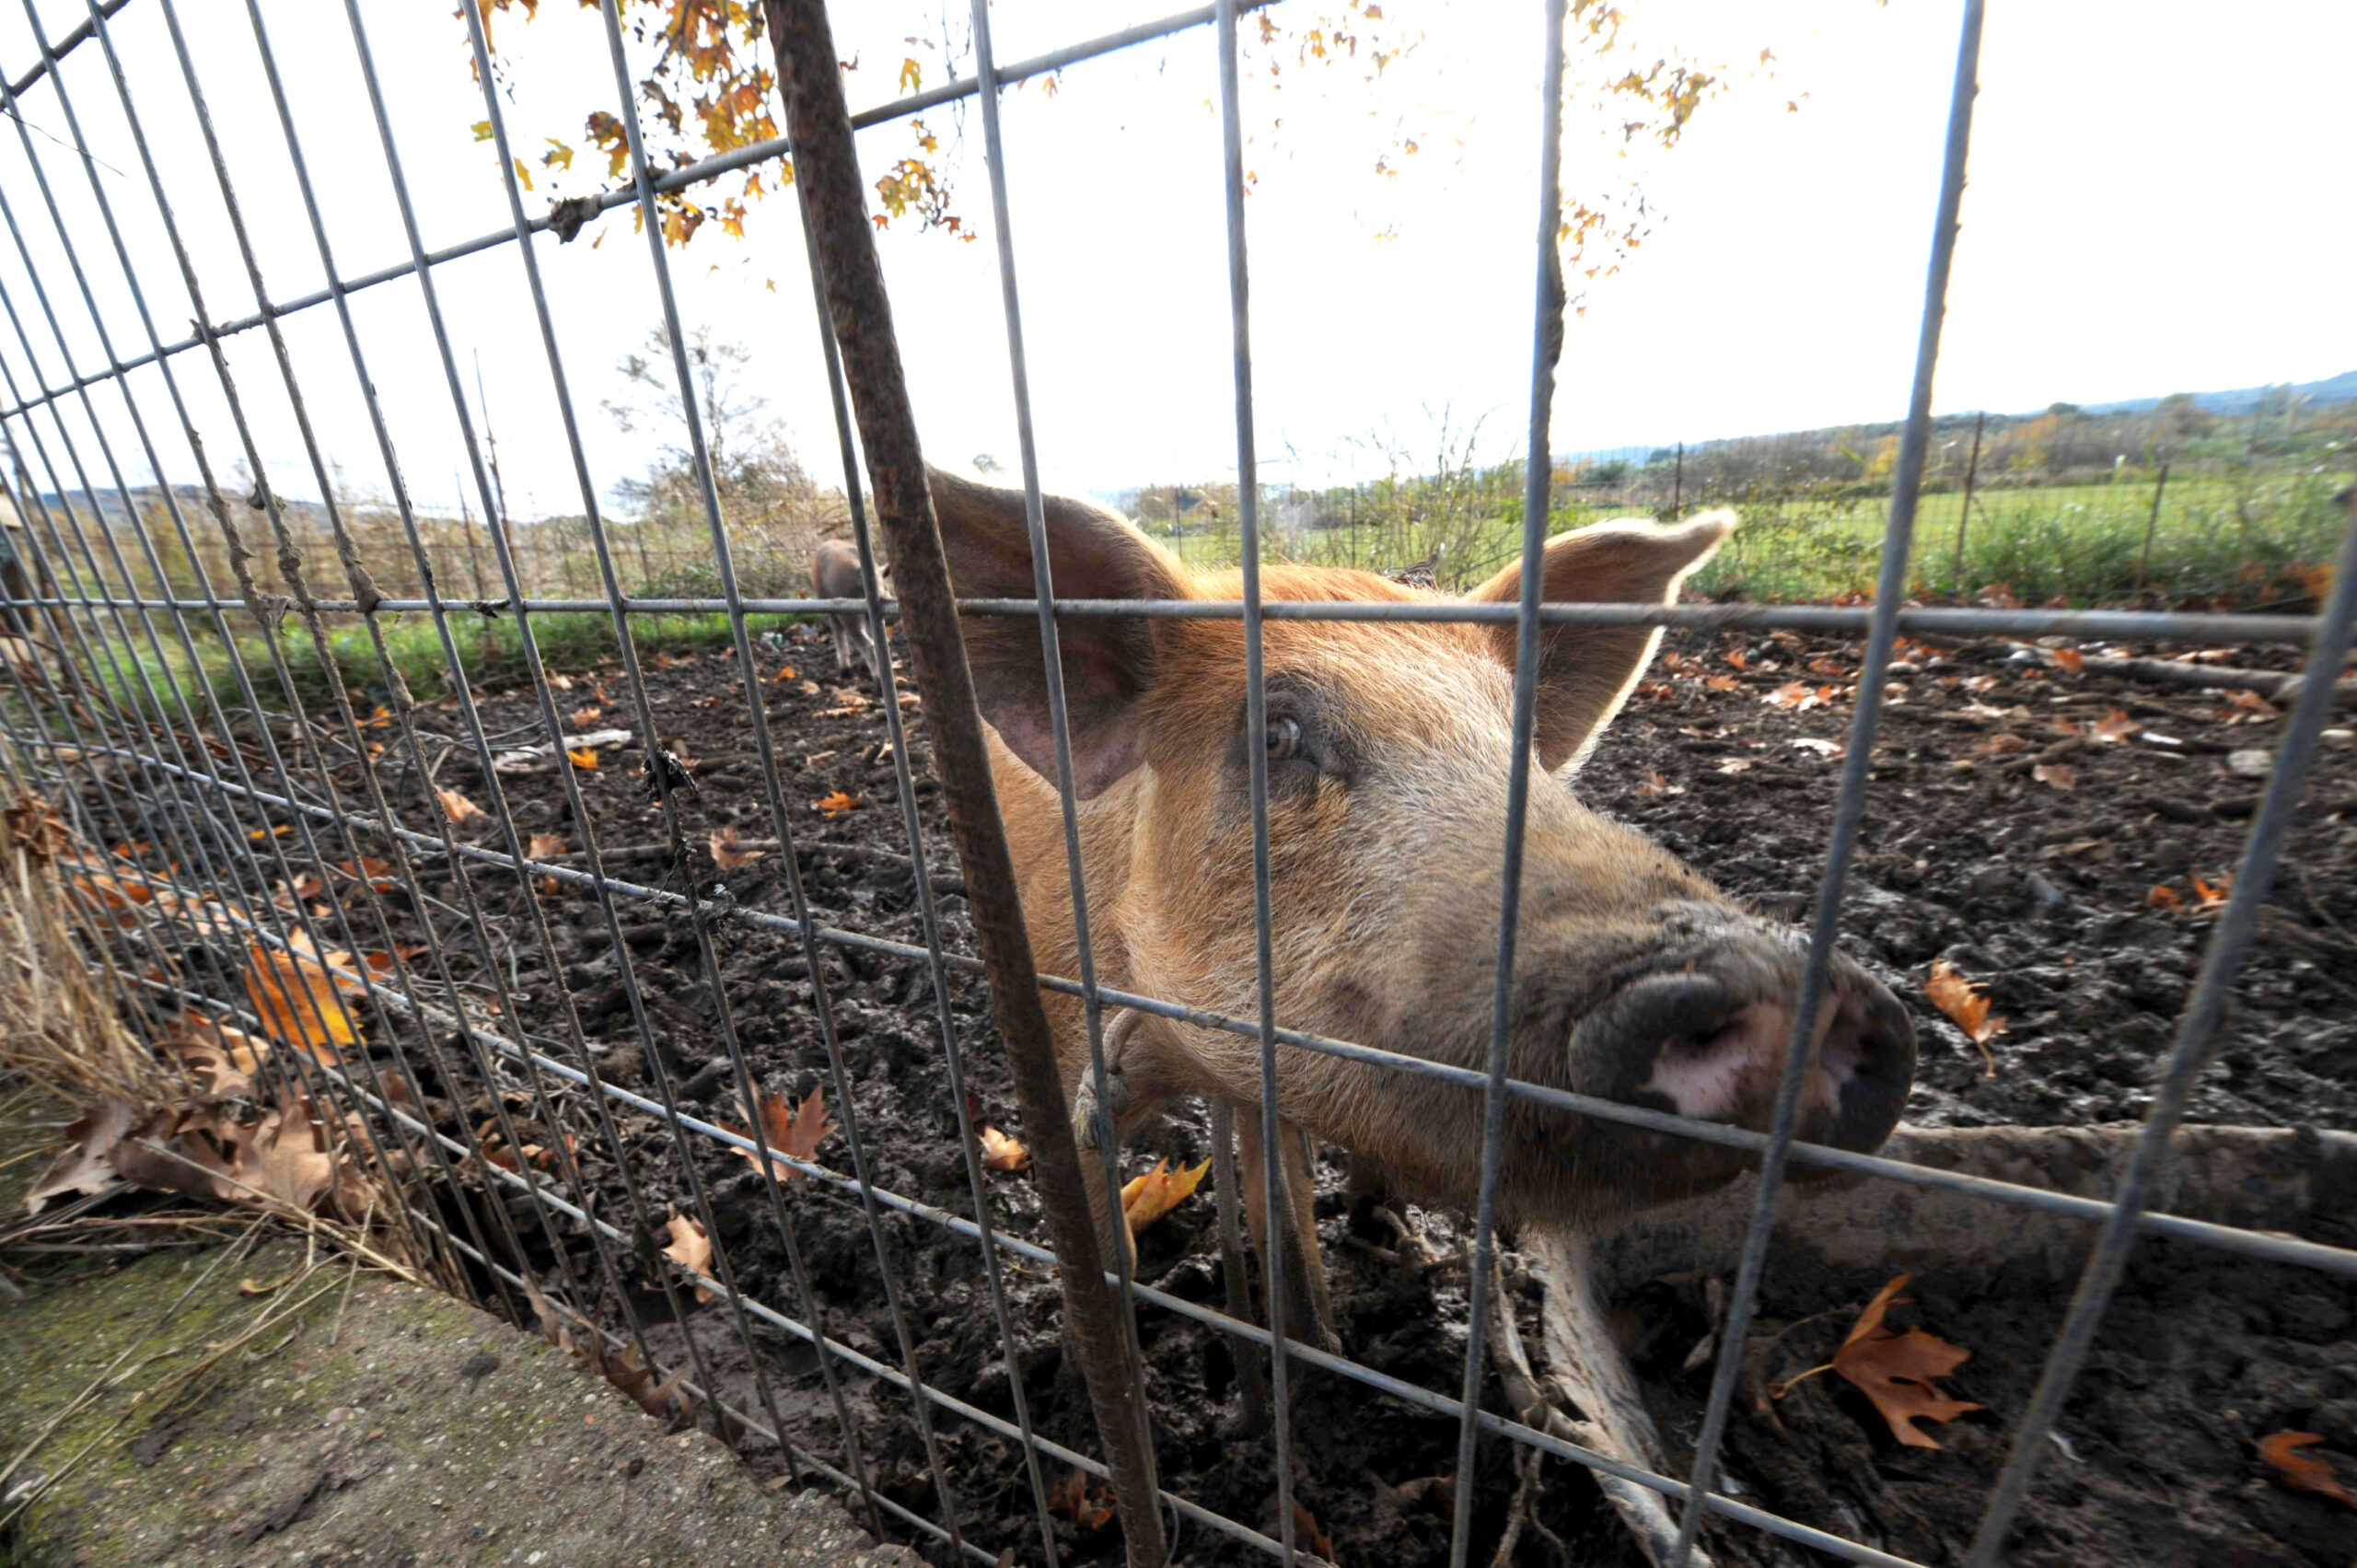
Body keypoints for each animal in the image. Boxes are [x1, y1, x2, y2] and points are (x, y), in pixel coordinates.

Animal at [923, 464, 1913, 1330]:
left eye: (1518, 738)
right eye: (1275, 735)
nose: (1774, 978)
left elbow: (1288, 1221)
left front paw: (1317, 1341)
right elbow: (1107, 1242)